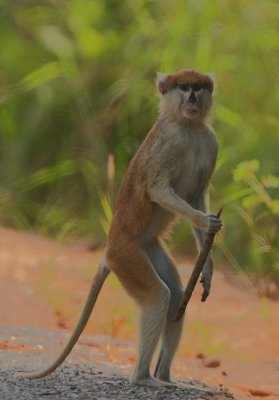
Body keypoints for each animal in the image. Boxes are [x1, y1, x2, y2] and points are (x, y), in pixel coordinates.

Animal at [17, 69, 223, 388]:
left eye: (198, 87)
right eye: (183, 87)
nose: (192, 99)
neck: (187, 125)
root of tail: (109, 249)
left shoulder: (209, 142)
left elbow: (198, 194)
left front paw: (208, 269)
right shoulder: (170, 144)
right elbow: (157, 189)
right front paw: (207, 221)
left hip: (145, 248)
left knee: (176, 296)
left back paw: (165, 376)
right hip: (126, 257)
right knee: (158, 296)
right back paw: (144, 378)